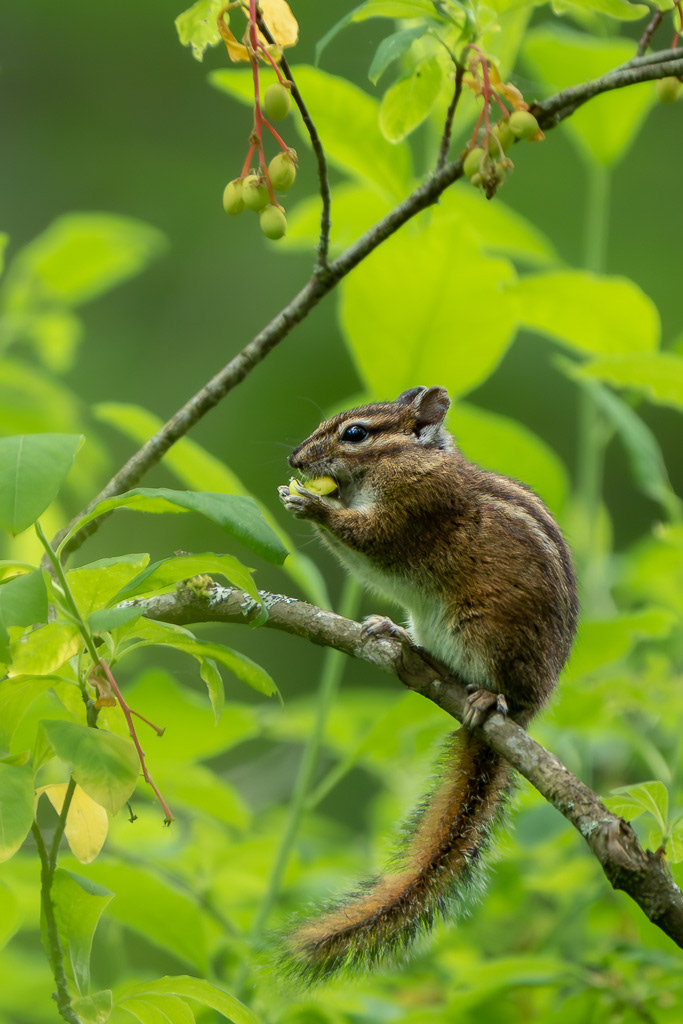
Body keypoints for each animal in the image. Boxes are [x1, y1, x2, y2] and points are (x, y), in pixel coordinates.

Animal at [277, 385, 578, 984]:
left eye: (354, 434)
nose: (295, 461)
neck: (409, 461)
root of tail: (529, 715)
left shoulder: (414, 508)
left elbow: (369, 540)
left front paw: (313, 506)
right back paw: (399, 638)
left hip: (487, 635)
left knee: (505, 690)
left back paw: (490, 696)